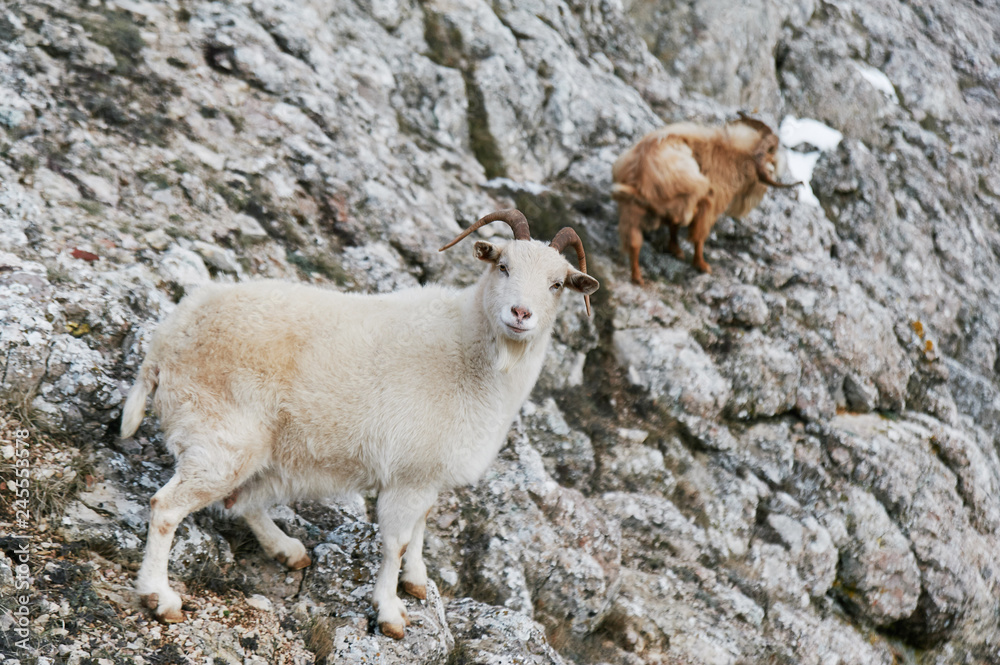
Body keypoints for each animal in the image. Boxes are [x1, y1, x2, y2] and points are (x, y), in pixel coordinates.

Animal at [119, 210, 598, 639]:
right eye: (503, 266)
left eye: (557, 284)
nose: (520, 314)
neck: (469, 353)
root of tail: (165, 341)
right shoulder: (408, 475)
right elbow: (396, 541)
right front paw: (390, 614)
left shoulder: (426, 474)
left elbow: (421, 527)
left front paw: (416, 582)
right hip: (220, 438)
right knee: (167, 507)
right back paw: (160, 598)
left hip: (265, 451)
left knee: (241, 501)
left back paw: (287, 550)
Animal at [611, 113, 798, 285]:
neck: (734, 157)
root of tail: (639, 176)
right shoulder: (714, 205)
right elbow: (699, 236)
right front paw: (702, 265)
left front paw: (676, 250)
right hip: (690, 185)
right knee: (682, 216)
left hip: (631, 210)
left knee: (635, 240)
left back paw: (637, 277)